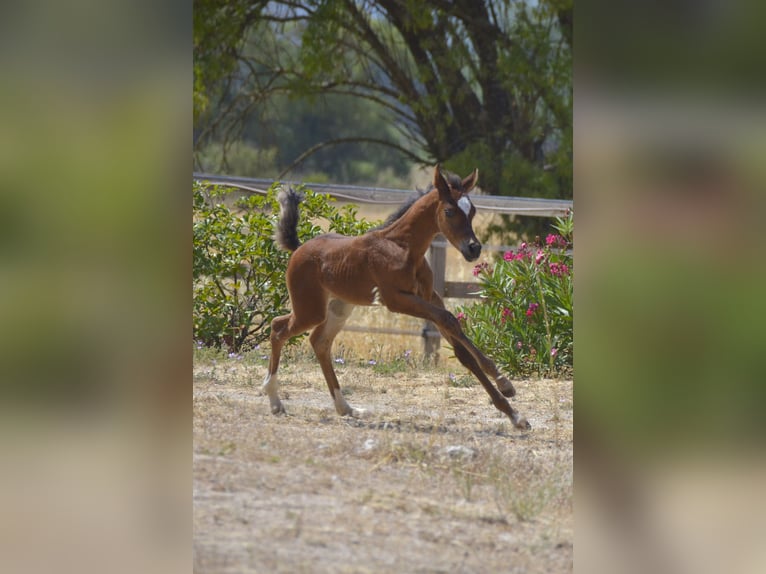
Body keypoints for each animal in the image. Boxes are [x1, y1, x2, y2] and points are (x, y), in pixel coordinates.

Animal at [262, 165, 530, 430]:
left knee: (319, 341)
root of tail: (298, 248)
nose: (473, 248)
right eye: (449, 211)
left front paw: (514, 412)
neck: (404, 248)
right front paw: (505, 384)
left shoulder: (429, 296)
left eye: (472, 210)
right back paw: (274, 400)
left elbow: (459, 345)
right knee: (278, 328)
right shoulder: (396, 299)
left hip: (339, 308)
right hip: (311, 309)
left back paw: (345, 408)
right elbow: (449, 319)